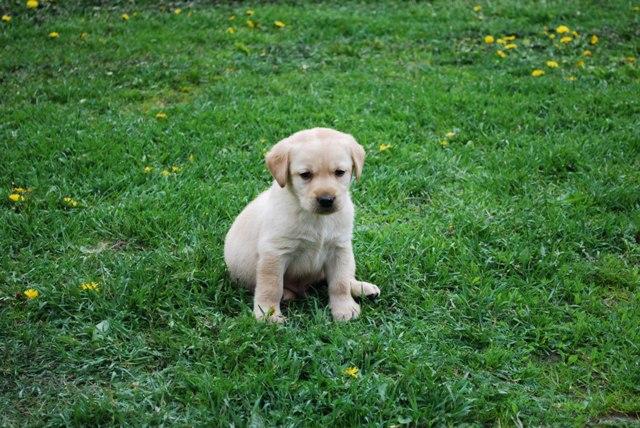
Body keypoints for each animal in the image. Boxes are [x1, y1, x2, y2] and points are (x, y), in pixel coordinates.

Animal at [224, 127, 380, 320]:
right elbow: (271, 287)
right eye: (305, 175)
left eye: (340, 172)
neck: (318, 218)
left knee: (345, 278)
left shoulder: (340, 248)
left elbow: (340, 283)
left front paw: (344, 309)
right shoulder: (274, 252)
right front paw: (268, 315)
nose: (326, 200)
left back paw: (362, 288)